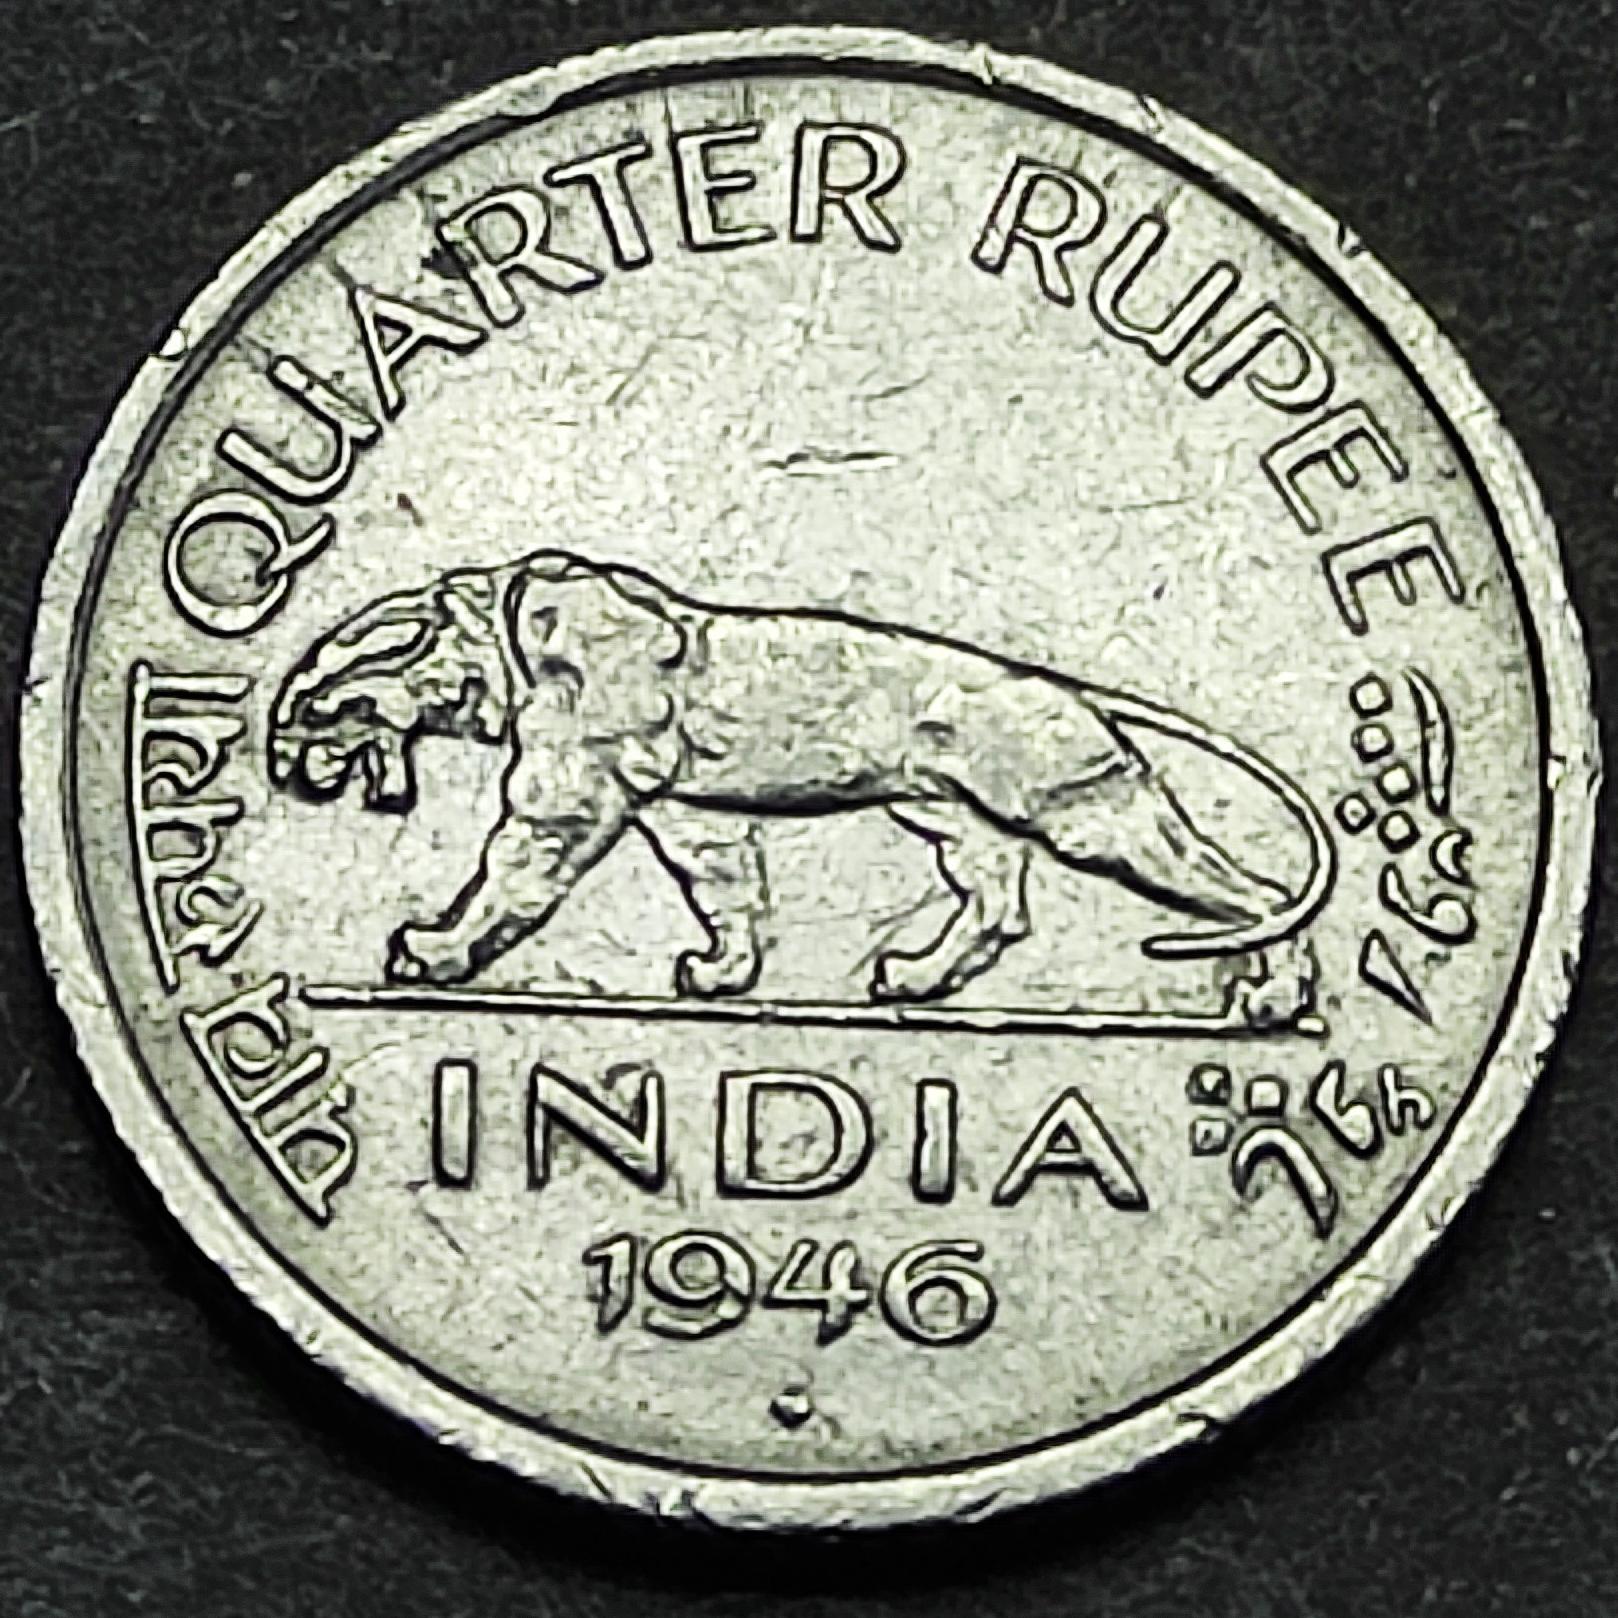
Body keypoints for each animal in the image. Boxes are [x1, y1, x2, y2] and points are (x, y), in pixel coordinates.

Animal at [267, 550, 1333, 1024]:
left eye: (307, 710)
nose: (276, 766)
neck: (499, 638)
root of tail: (1062, 688)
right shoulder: (692, 818)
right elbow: (731, 895)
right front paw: (723, 973)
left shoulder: (574, 790)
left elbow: (513, 877)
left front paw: (438, 951)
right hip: (954, 819)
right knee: (997, 906)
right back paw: (916, 978)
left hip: (1090, 810)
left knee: (1254, 891)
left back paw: (1276, 994)